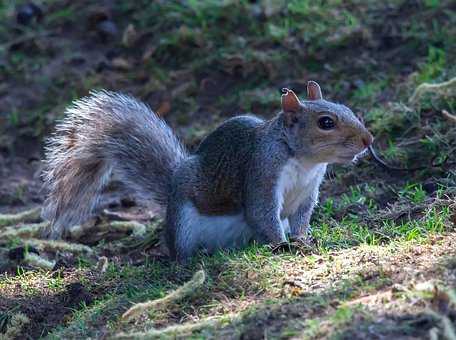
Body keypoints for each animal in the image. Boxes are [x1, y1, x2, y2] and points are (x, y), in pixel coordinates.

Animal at [41, 81, 372, 262]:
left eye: (345, 108)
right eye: (326, 122)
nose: (368, 140)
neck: (303, 161)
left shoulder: (308, 191)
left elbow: (301, 218)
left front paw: (302, 240)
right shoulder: (261, 174)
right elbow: (262, 213)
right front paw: (283, 246)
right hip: (183, 221)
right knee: (179, 250)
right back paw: (188, 259)